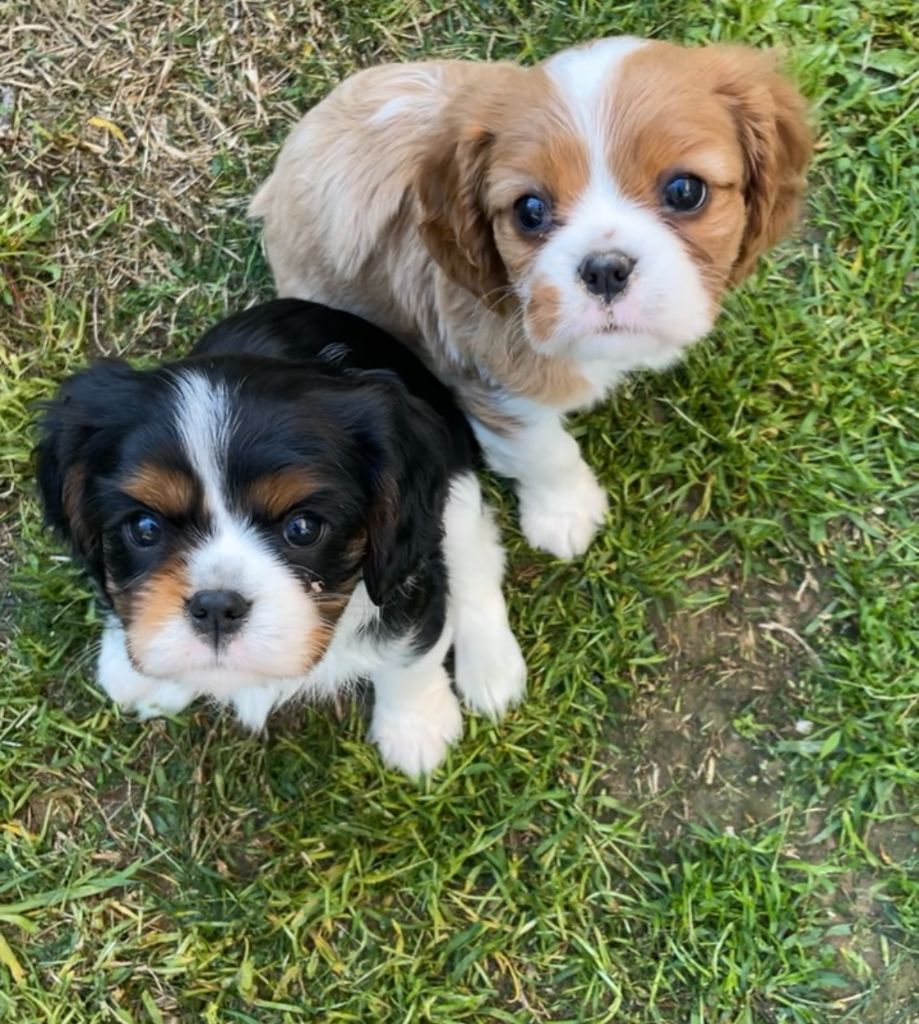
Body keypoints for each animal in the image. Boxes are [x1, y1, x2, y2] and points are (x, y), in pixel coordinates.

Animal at [35, 296, 528, 774]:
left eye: (303, 528)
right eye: (144, 527)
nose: (216, 608)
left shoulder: (409, 586)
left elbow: (412, 657)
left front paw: (416, 728)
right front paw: (136, 672)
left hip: (455, 496)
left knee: (477, 563)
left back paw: (491, 667)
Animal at [248, 37, 811, 561]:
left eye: (685, 191)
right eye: (530, 210)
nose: (605, 269)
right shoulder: (490, 376)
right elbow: (542, 447)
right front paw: (564, 513)